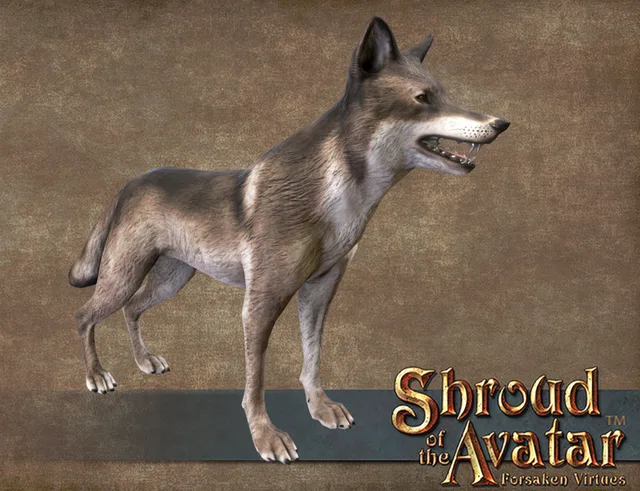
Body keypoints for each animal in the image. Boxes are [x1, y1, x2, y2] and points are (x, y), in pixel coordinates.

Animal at [69, 17, 509, 463]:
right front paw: (265, 436)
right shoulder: (261, 303)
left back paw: (144, 361)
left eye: (445, 94)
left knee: (132, 309)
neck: (335, 190)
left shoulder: (319, 289)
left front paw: (320, 408)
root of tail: (131, 183)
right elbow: (255, 383)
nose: (501, 123)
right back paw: (97, 375)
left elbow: (311, 358)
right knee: (85, 316)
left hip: (171, 279)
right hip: (123, 275)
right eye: (423, 98)